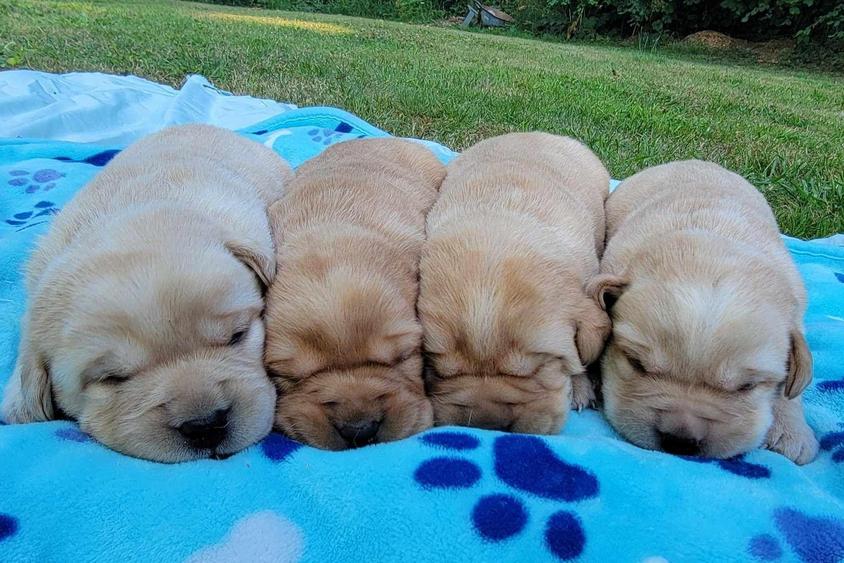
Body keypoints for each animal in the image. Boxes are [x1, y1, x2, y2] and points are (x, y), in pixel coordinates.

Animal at [592, 161, 816, 464]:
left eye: (746, 386)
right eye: (636, 364)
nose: (680, 440)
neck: (711, 247)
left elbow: (790, 387)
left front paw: (791, 432)